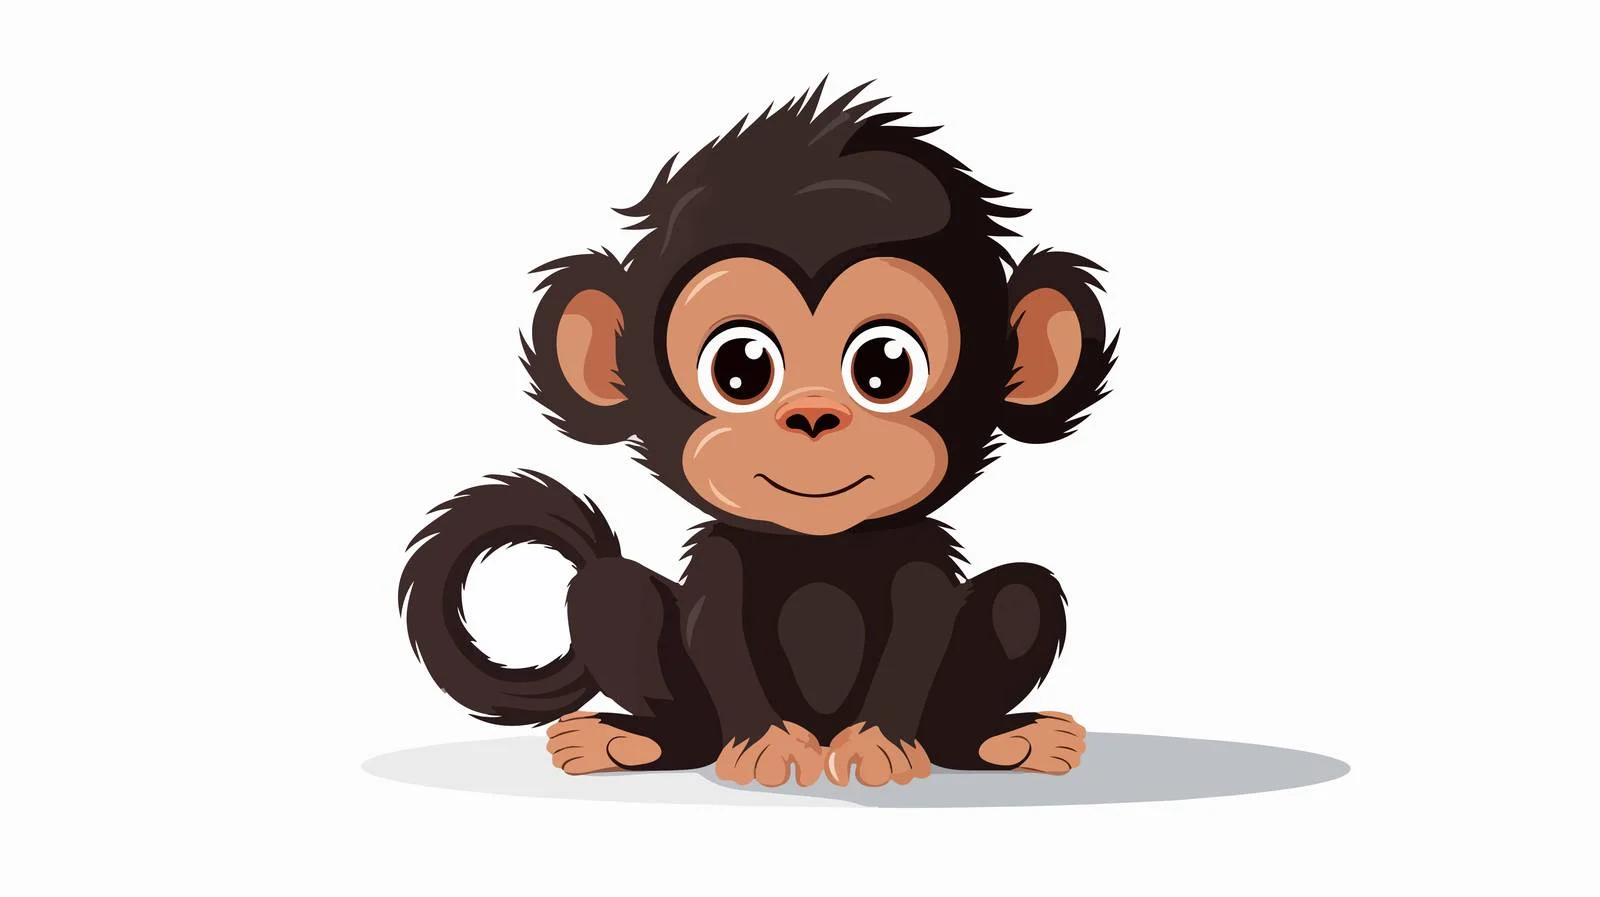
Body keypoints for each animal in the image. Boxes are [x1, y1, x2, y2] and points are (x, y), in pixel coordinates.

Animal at [399, 82, 1115, 787]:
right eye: (740, 368)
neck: (822, 548)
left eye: (885, 366)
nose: (813, 417)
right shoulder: (722, 557)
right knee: (611, 592)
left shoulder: (922, 554)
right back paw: (637, 742)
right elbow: (714, 631)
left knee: (1023, 593)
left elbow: (926, 625)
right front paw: (762, 744)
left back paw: (1000, 741)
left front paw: (882, 742)